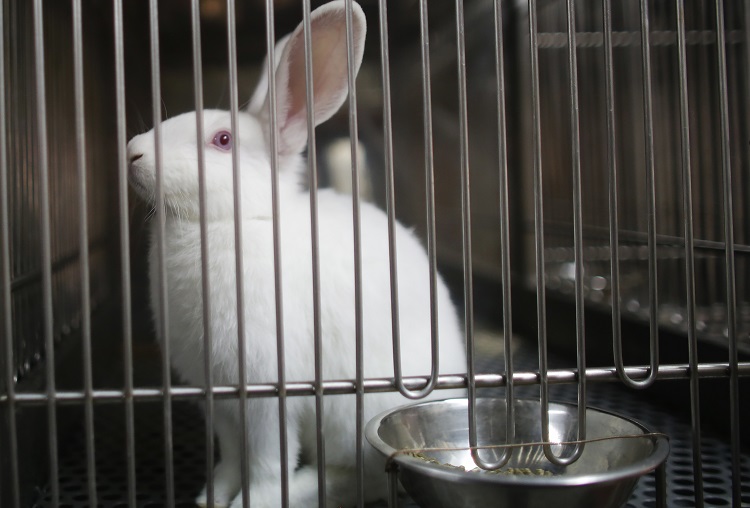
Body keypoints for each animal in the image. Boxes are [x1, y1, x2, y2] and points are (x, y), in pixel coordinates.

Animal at [126, 1, 468, 506]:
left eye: (222, 140)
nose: (132, 153)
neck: (235, 224)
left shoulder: (268, 393)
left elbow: (268, 461)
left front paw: (257, 500)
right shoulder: (219, 400)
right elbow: (231, 456)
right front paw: (213, 496)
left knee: (360, 472)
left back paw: (311, 488)